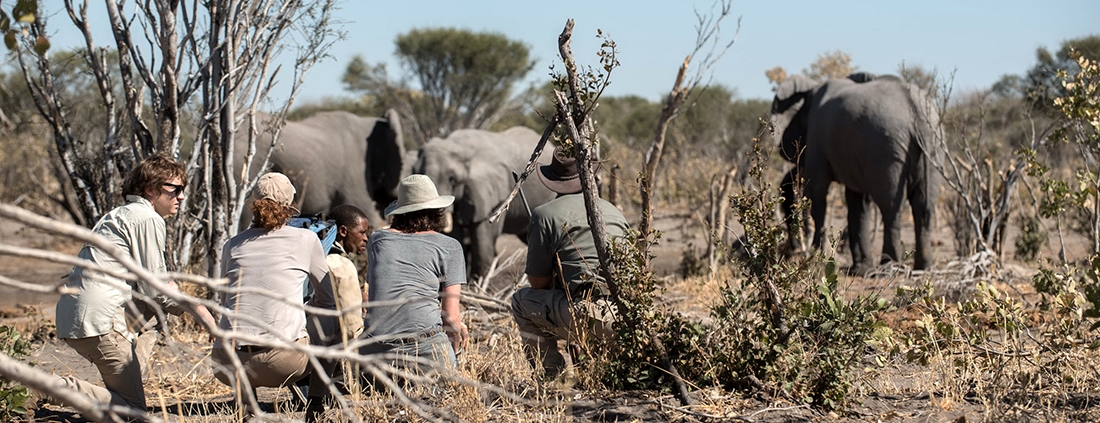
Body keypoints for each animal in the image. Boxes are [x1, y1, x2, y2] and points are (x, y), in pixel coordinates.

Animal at [411, 128, 558, 280]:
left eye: (452, 179)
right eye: (417, 173)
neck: (460, 146)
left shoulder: (491, 192)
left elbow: (483, 239)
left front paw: (478, 283)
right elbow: (455, 236)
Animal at [774, 70, 946, 272]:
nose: (791, 250)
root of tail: (916, 110)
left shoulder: (816, 136)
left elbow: (817, 194)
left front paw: (816, 258)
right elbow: (858, 202)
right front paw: (860, 269)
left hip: (886, 147)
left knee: (891, 207)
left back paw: (888, 267)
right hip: (933, 147)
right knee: (923, 207)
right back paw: (923, 268)